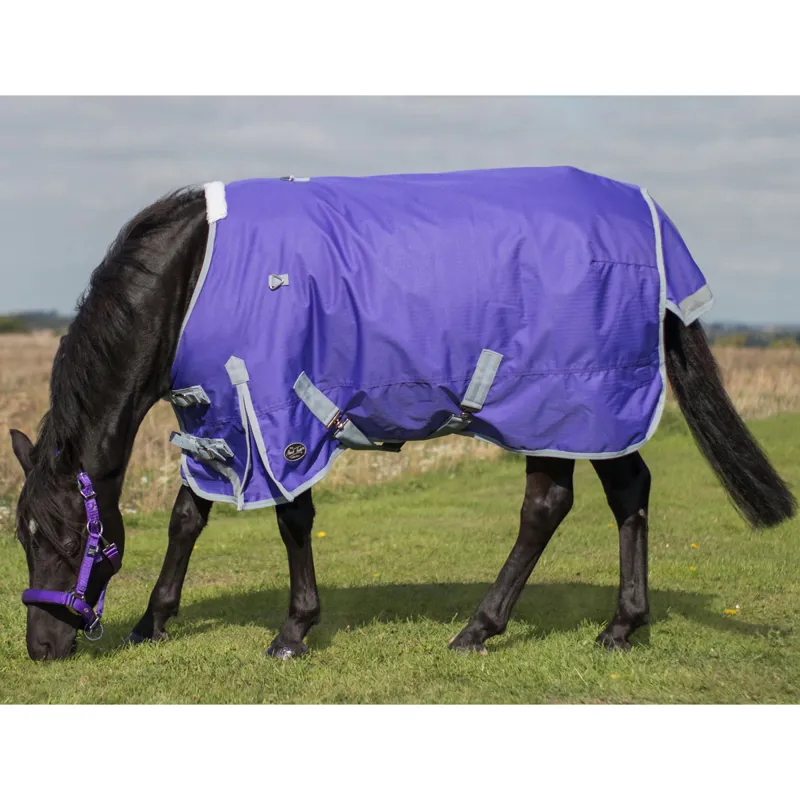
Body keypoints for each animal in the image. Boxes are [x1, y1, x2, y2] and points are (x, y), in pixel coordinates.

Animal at [9, 168, 796, 662]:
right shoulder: (221, 418)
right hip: (586, 411)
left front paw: (293, 631)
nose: (43, 648)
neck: (194, 275)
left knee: (548, 506)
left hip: (561, 404)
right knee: (622, 491)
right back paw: (620, 626)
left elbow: (293, 518)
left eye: (66, 536)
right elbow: (186, 518)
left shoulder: (280, 413)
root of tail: (650, 218)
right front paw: (153, 621)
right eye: (23, 535)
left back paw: (481, 629)